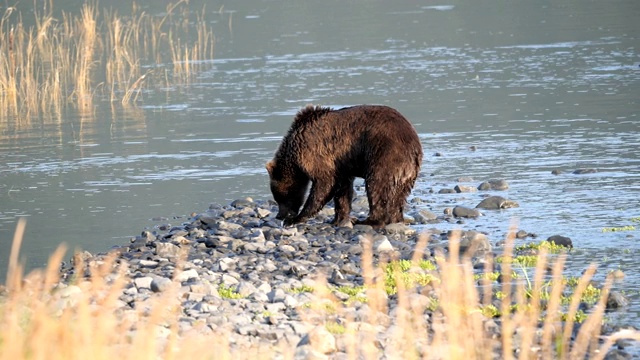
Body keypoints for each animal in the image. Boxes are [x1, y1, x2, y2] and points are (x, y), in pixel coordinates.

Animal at [266, 104, 422, 228]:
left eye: (279, 196)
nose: (280, 216)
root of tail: (414, 147)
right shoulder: (342, 164)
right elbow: (343, 190)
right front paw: (338, 219)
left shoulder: (316, 151)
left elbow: (325, 183)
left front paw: (296, 219)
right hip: (407, 173)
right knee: (399, 195)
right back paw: (396, 218)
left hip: (384, 154)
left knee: (377, 185)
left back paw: (369, 221)